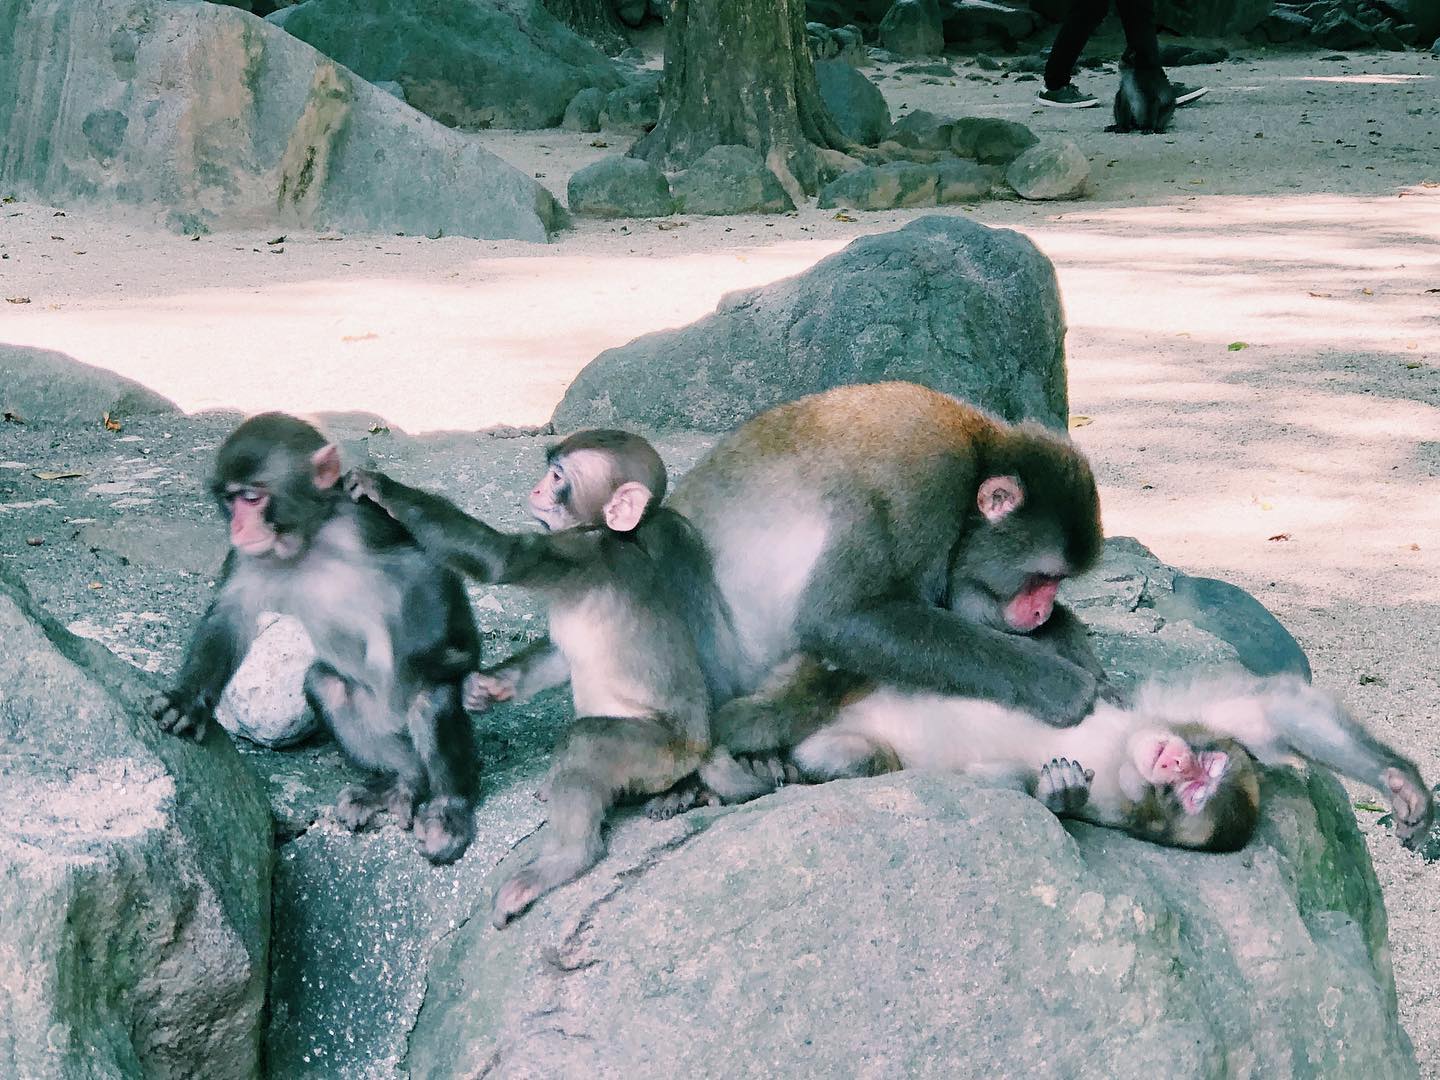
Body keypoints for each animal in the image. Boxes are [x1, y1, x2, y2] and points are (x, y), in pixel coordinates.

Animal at [151, 408, 480, 869]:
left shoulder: (363, 521)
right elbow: (229, 617)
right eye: (230, 500)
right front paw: (187, 701)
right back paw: (402, 783)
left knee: (428, 697)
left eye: (252, 498)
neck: (307, 540)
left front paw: (446, 654)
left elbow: (427, 565)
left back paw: (448, 808)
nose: (237, 526)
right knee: (326, 685)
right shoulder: (248, 558)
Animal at [341, 432, 737, 933]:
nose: (535, 489)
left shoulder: (578, 551)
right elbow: (560, 658)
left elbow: (501, 559)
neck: (612, 535)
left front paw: (382, 488)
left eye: (557, 477)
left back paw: (566, 859)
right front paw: (489, 688)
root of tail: (702, 747)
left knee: (589, 742)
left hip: (664, 753)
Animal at [737, 659, 1434, 852]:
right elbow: (1269, 711)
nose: (1174, 764)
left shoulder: (1119, 810)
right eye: (1202, 771)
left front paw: (1059, 792)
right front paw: (1402, 783)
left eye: (1192, 795)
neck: (1123, 756)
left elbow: (1004, 783)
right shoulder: (1168, 716)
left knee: (851, 759)